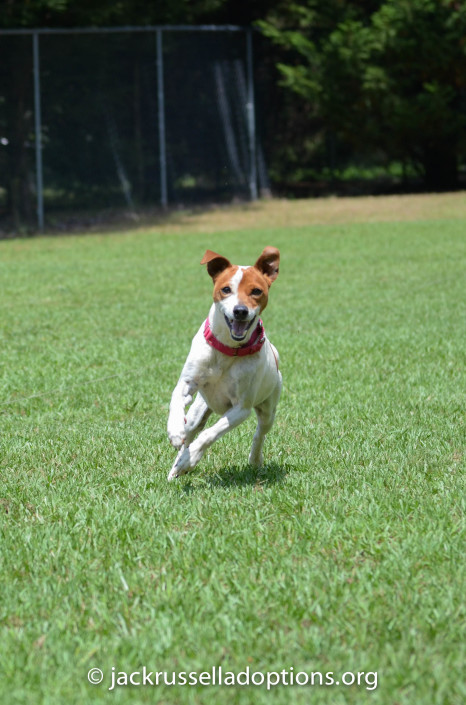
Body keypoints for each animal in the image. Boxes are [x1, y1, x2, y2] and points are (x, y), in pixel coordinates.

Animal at [167, 245, 280, 482]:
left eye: (256, 291)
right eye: (226, 289)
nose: (240, 311)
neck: (228, 349)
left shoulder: (241, 408)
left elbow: (210, 434)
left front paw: (191, 459)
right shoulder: (188, 382)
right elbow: (176, 400)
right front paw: (174, 431)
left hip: (268, 408)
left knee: (260, 433)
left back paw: (254, 460)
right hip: (200, 408)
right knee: (191, 431)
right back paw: (177, 465)